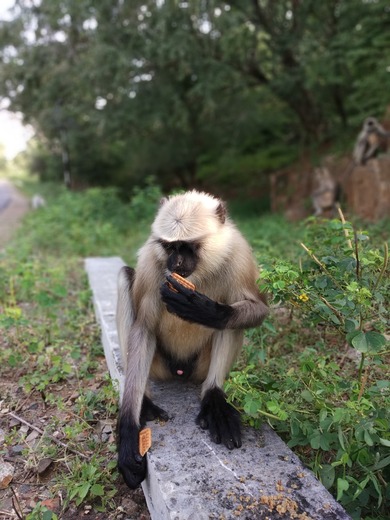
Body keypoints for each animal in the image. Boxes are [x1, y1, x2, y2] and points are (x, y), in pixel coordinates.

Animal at [116, 190, 268, 488]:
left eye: (187, 247)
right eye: (170, 247)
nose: (175, 264)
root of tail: (180, 371)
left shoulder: (238, 252)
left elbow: (257, 309)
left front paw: (205, 310)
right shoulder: (152, 258)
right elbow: (144, 328)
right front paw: (128, 432)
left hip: (200, 367)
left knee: (230, 314)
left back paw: (214, 397)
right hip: (159, 365)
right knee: (125, 276)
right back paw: (144, 402)